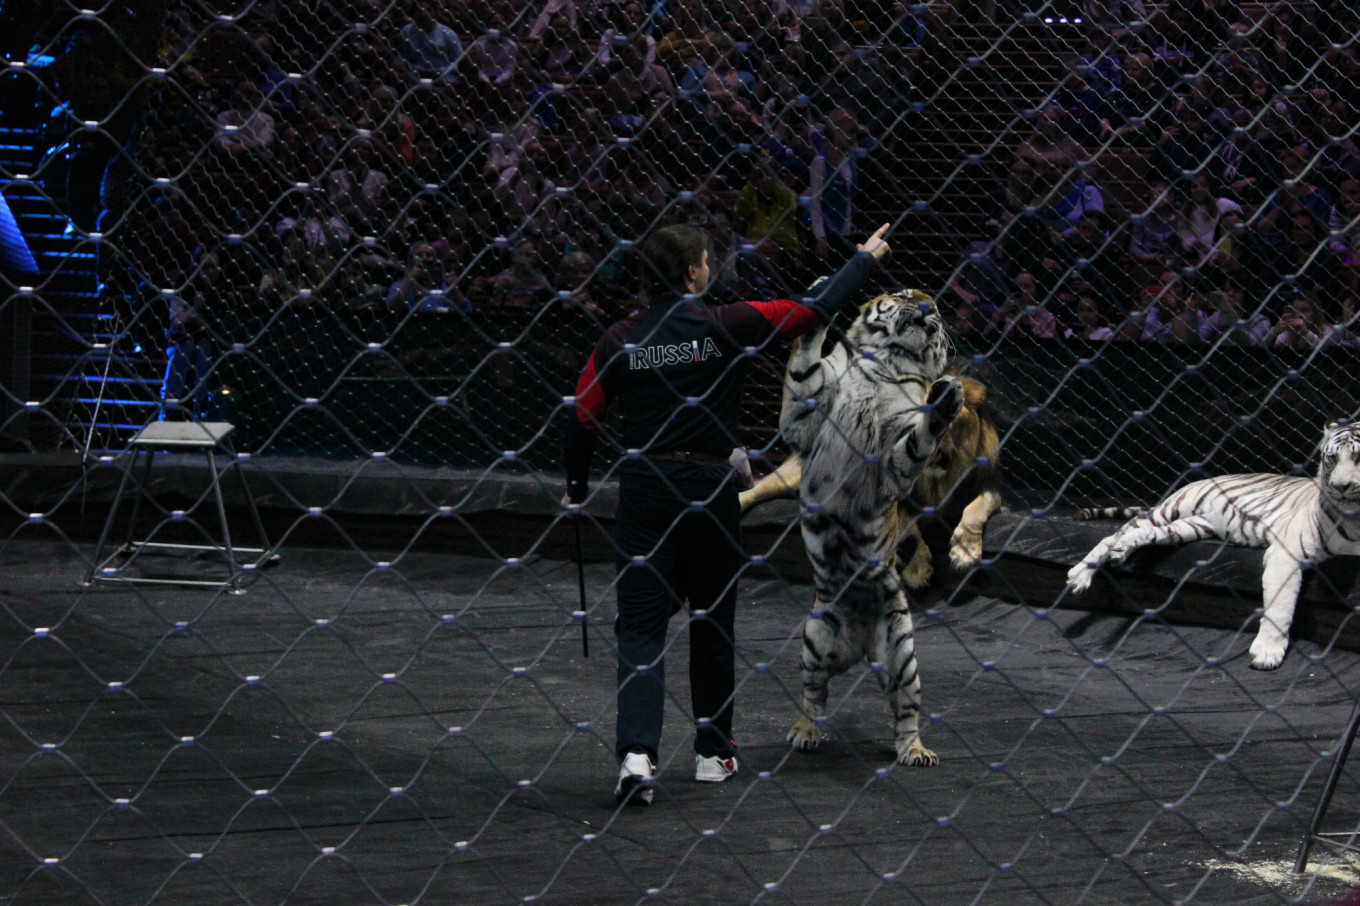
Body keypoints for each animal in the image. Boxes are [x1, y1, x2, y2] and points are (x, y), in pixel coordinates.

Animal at [777, 287, 968, 761]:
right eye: (905, 295)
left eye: (937, 307)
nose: (928, 306)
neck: (887, 365)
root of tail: (861, 648)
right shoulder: (804, 419)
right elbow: (804, 368)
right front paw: (818, 305)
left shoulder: (892, 459)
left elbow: (916, 441)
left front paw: (944, 402)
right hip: (815, 636)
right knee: (814, 694)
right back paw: (804, 732)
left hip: (902, 651)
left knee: (905, 708)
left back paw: (915, 750)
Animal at [1060, 418, 1360, 666]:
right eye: (1332, 459)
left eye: (1357, 458)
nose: (1340, 486)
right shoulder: (1285, 553)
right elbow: (1281, 604)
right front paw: (1267, 652)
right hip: (1171, 510)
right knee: (1112, 535)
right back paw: (1081, 574)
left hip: (1188, 527)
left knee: (1139, 534)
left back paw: (1122, 550)